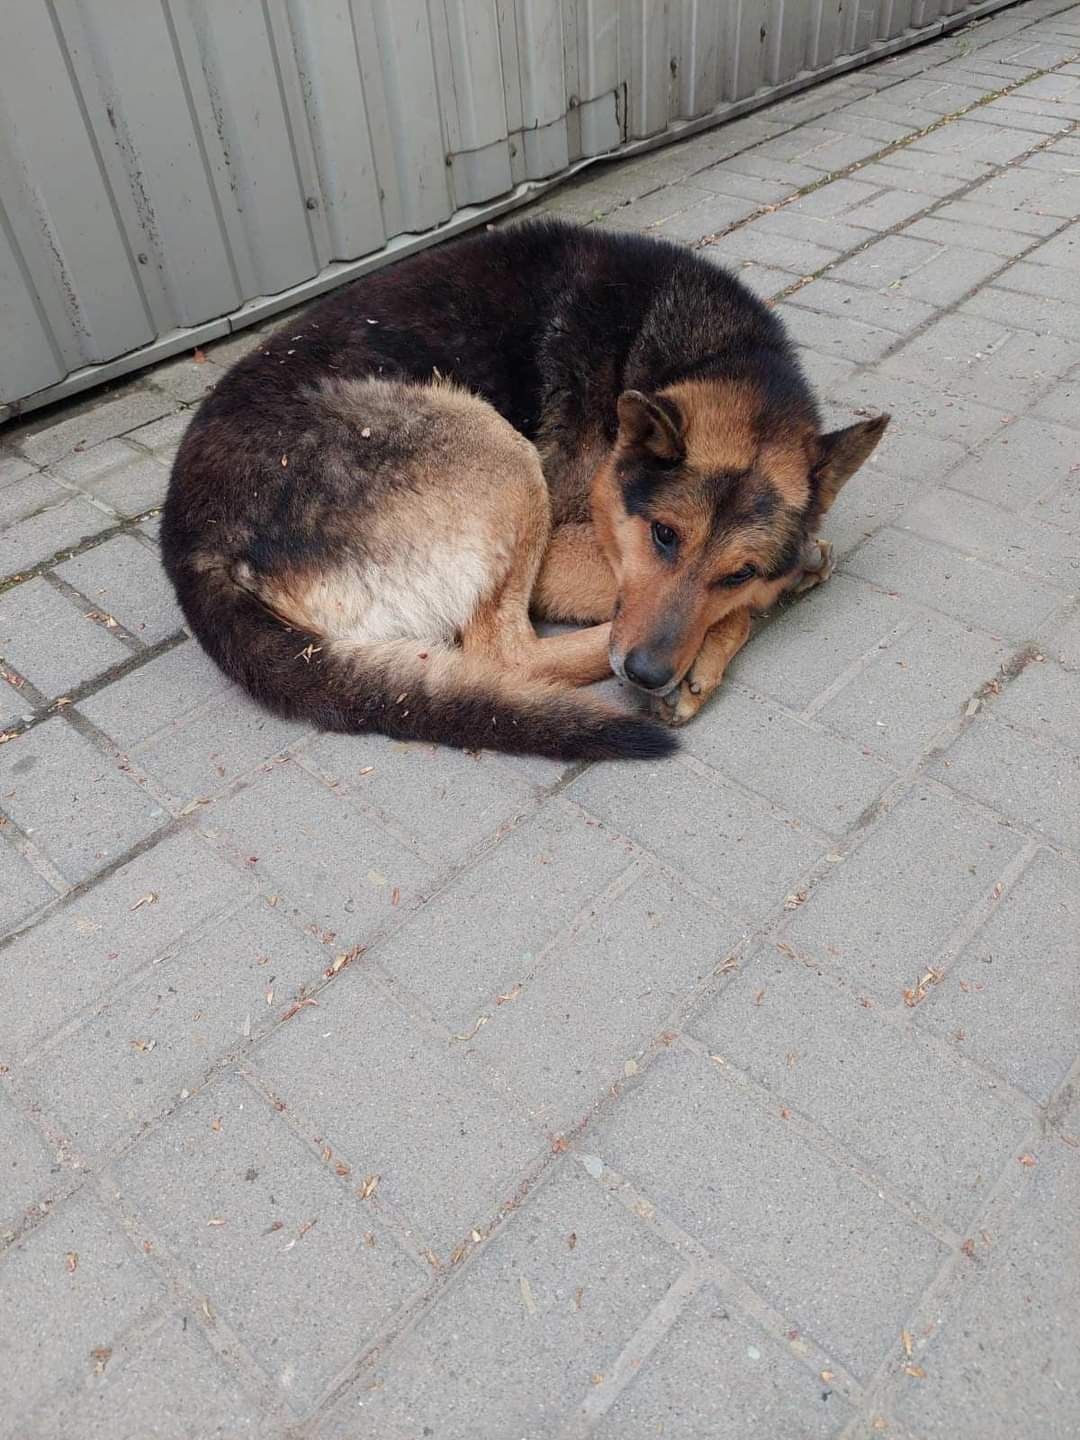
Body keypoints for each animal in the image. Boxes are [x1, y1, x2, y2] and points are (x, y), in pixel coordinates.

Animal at [160, 218, 887, 760]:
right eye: (663, 536)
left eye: (737, 571)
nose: (647, 674)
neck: (711, 356)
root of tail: (192, 546)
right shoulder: (585, 547)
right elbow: (686, 605)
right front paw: (748, 616)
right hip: (497, 448)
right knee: (504, 654)